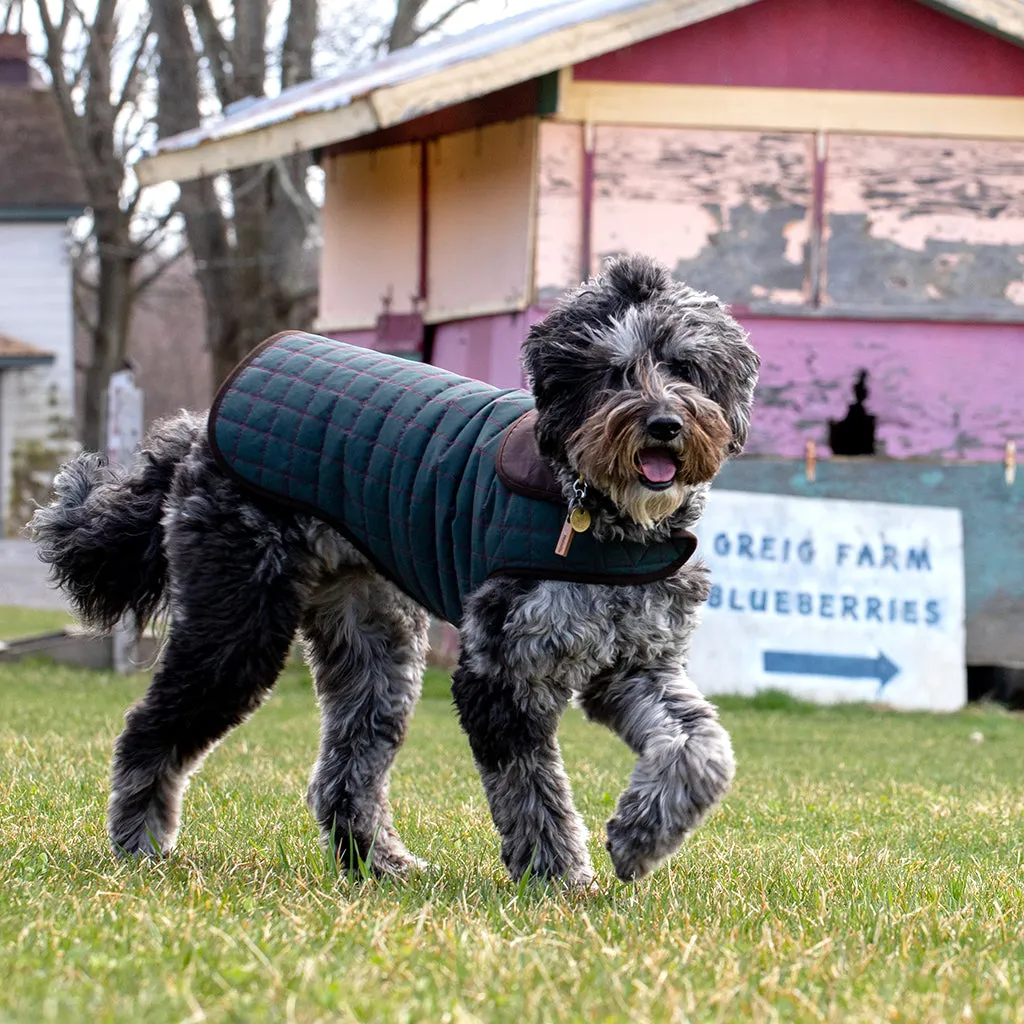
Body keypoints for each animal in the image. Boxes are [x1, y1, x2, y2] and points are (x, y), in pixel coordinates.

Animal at [29, 256, 761, 888]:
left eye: (684, 367)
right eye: (612, 373)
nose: (664, 425)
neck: (600, 516)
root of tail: (196, 431)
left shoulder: (635, 664)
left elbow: (703, 749)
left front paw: (639, 839)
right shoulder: (500, 674)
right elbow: (532, 789)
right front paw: (559, 876)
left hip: (374, 647)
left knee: (342, 774)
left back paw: (378, 862)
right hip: (235, 627)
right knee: (148, 732)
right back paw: (140, 843)